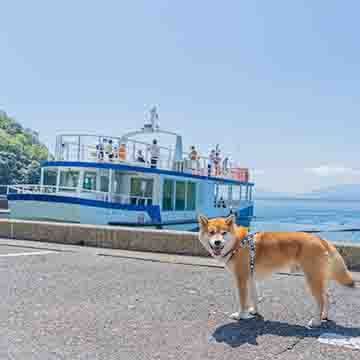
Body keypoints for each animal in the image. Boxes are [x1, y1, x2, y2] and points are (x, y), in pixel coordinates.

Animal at [198, 215, 356, 328]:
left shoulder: (241, 278)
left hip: (312, 279)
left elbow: (243, 301)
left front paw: (240, 315)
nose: (217, 242)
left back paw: (316, 321)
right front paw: (254, 311)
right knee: (327, 296)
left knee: (321, 300)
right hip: (318, 278)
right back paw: (324, 316)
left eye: (223, 233)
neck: (238, 243)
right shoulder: (250, 277)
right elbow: (254, 297)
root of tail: (320, 238)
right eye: (211, 233)